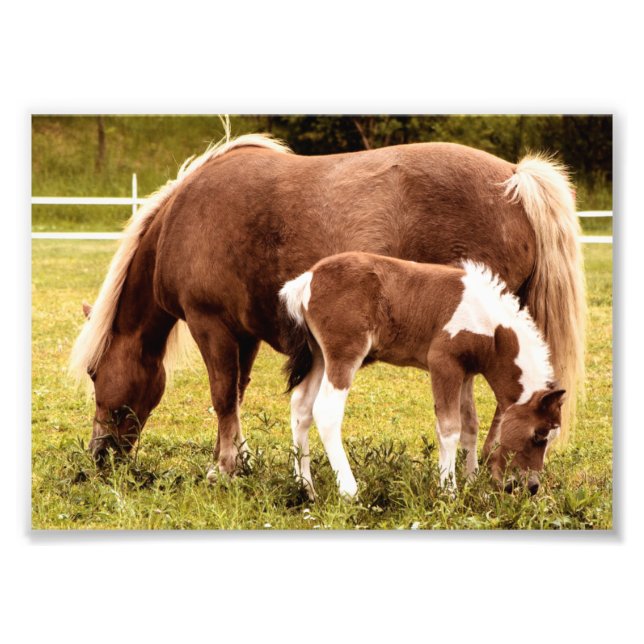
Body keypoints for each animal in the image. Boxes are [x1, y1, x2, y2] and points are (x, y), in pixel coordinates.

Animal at [280, 252, 565, 498]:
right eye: (539, 434)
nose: (531, 487)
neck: (487, 323)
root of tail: (307, 280)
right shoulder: (443, 364)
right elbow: (449, 428)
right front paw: (449, 492)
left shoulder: (466, 373)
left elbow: (470, 425)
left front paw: (471, 483)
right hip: (344, 353)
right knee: (326, 410)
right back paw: (350, 491)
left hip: (319, 355)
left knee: (301, 405)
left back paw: (306, 488)